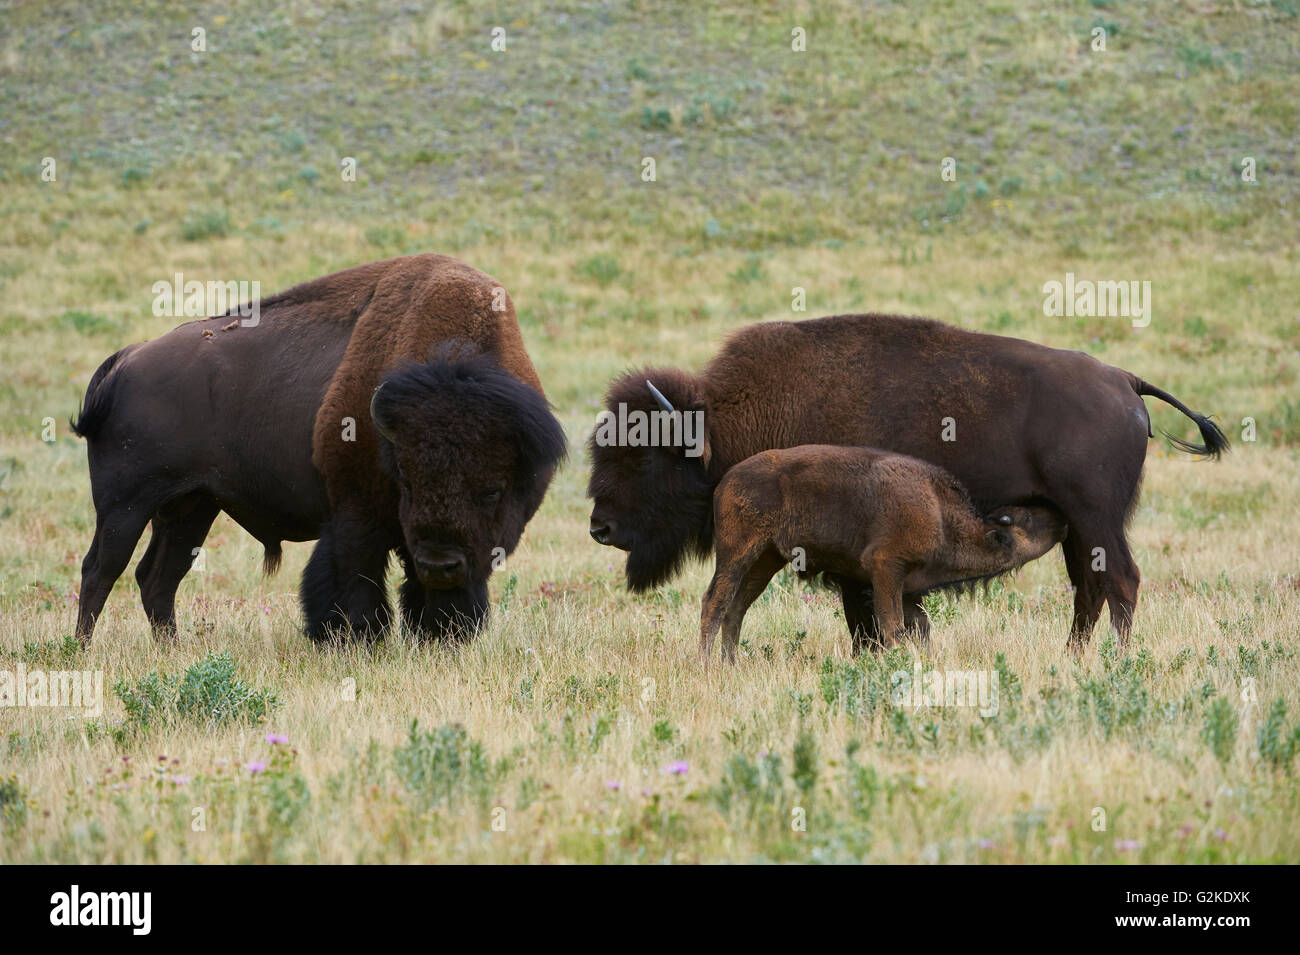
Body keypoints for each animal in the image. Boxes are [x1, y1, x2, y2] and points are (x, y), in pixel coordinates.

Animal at [71, 250, 566, 647]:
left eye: (492, 490)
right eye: (405, 478)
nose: (440, 564)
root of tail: (126, 361)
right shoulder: (355, 517)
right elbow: (353, 583)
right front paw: (353, 641)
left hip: (191, 507)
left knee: (158, 577)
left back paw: (171, 650)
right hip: (125, 506)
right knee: (101, 570)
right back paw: (83, 650)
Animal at [702, 446, 1066, 665]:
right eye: (1026, 519)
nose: (1058, 515)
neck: (939, 514)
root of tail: (727, 480)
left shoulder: (908, 589)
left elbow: (920, 629)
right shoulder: (886, 568)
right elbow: (893, 628)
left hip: (765, 561)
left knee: (736, 608)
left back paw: (730, 664)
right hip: (738, 552)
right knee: (714, 602)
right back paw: (708, 666)